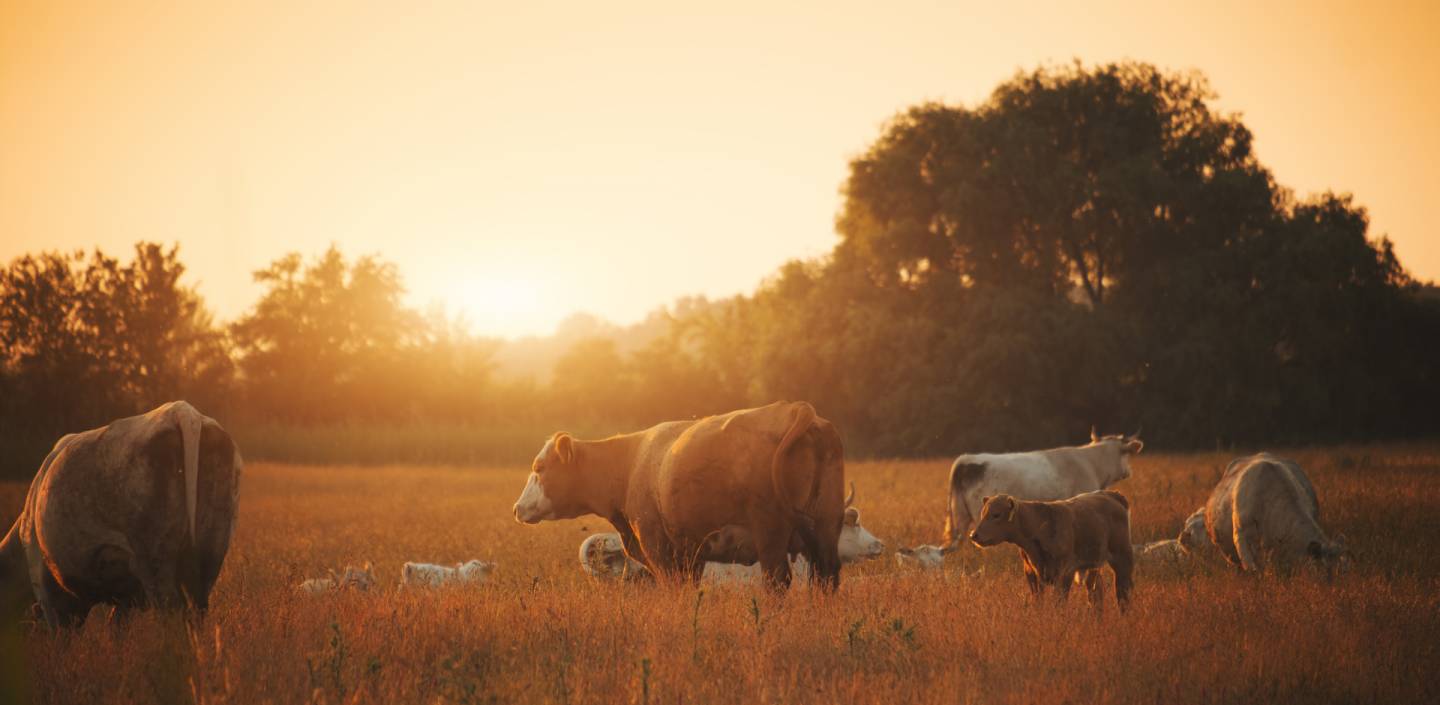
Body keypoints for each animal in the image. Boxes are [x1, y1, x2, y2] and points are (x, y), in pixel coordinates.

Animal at [0, 402, 242, 630]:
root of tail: (179, 410)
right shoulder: (126, 599)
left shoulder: (49, 590)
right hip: (211, 551)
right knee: (197, 609)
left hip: (155, 557)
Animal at [515, 401, 847, 591]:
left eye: (539, 467)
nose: (517, 508)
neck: (631, 462)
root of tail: (795, 408)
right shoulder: (692, 552)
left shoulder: (656, 544)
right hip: (827, 525)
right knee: (828, 576)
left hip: (770, 529)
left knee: (777, 581)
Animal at [942, 430, 1143, 553]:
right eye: (1125, 455)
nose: (1129, 471)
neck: (1091, 463)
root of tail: (967, 459)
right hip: (979, 517)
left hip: (960, 514)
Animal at [969, 491, 1135, 607]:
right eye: (982, 514)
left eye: (996, 515)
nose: (973, 535)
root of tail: (1111, 495)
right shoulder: (1031, 573)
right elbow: (1037, 602)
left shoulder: (1065, 572)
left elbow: (1058, 603)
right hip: (1093, 565)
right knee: (1096, 593)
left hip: (1122, 558)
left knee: (1123, 592)